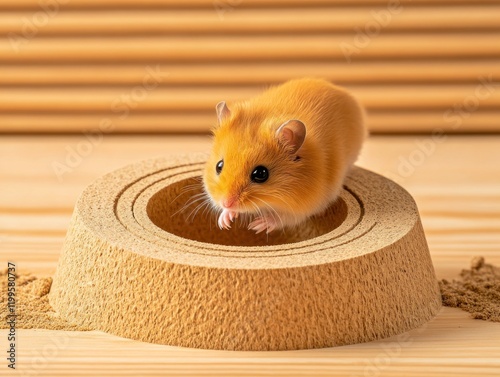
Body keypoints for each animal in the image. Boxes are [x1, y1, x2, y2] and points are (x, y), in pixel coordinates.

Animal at [201, 78, 366, 234]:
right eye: (219, 166)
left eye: (261, 174)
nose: (226, 202)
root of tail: (338, 89)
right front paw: (224, 222)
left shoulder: (301, 208)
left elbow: (280, 218)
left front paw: (256, 226)